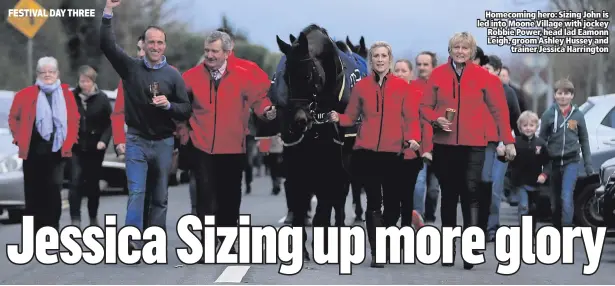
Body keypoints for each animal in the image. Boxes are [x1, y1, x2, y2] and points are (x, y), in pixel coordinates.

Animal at [260, 24, 366, 256]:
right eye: (285, 77)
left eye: (308, 75)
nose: (298, 121)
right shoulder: (298, 151)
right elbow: (300, 190)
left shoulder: (335, 154)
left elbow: (330, 192)